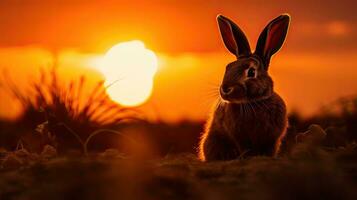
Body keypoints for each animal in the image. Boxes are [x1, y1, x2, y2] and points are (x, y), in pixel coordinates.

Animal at [199, 13, 290, 161]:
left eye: (251, 72)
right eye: (227, 67)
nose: (225, 89)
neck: (254, 102)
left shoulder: (271, 140)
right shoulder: (240, 138)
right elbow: (244, 148)